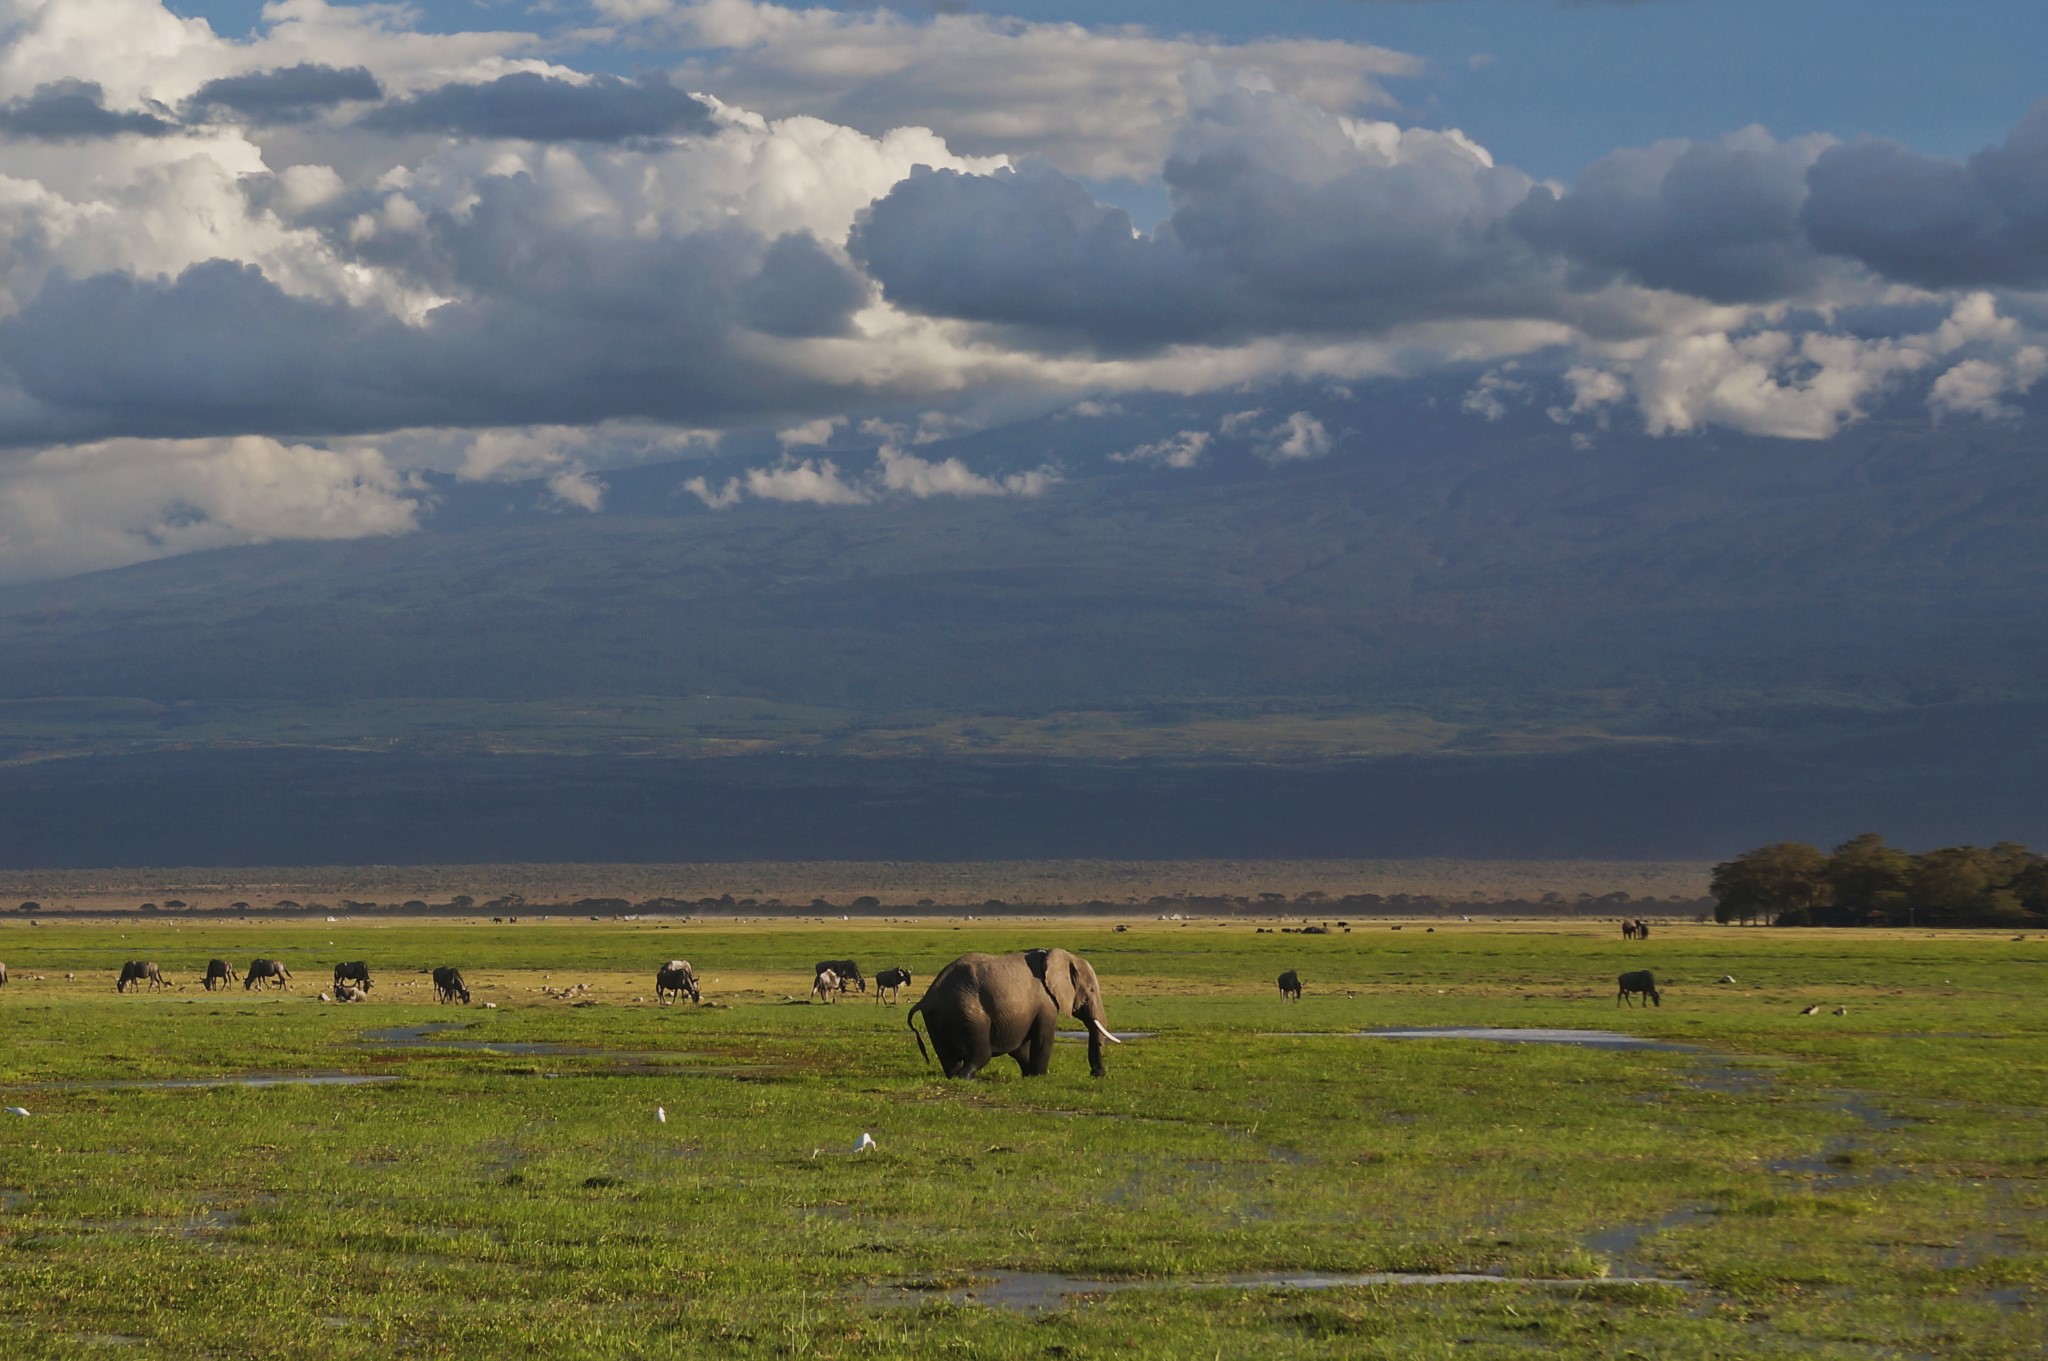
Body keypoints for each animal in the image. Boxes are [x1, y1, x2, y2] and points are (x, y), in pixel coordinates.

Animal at [909, 949, 1122, 1080]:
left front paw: (1028, 1075)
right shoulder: (1046, 1002)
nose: (1097, 1074)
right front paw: (1040, 1077)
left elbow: (1020, 1047)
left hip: (936, 1017)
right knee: (981, 1055)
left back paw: (955, 1077)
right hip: (968, 1012)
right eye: (1092, 990)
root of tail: (929, 996)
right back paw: (967, 1079)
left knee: (948, 1056)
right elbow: (1043, 1040)